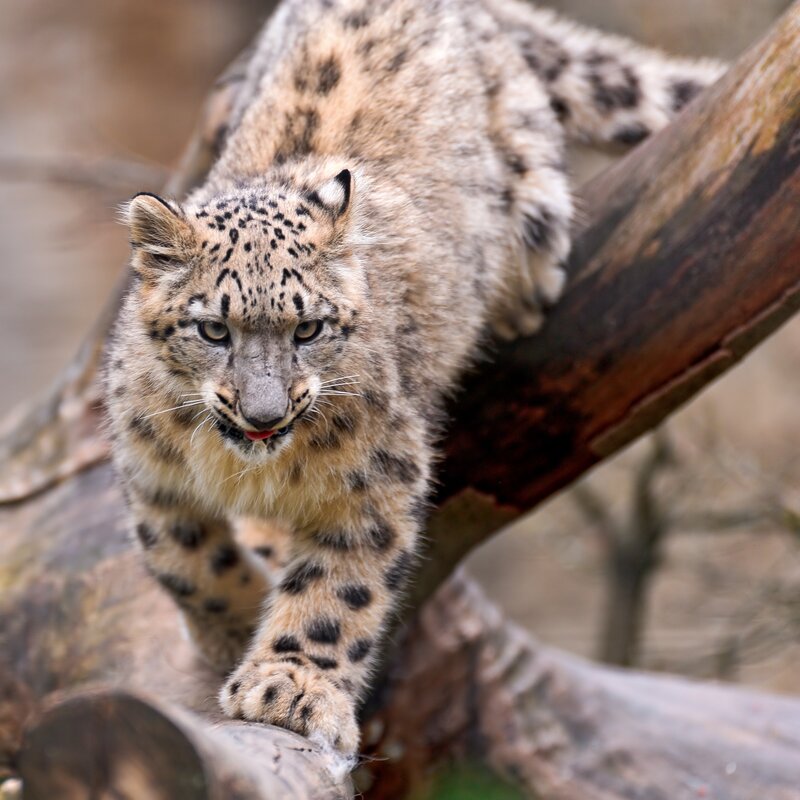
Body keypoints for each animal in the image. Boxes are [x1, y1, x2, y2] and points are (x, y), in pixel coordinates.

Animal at [105, 0, 725, 770]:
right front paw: (235, 623)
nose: (264, 414)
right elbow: (182, 561)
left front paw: (290, 687)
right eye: (214, 330)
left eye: (308, 329)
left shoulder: (376, 479)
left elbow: (338, 590)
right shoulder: (149, 471)